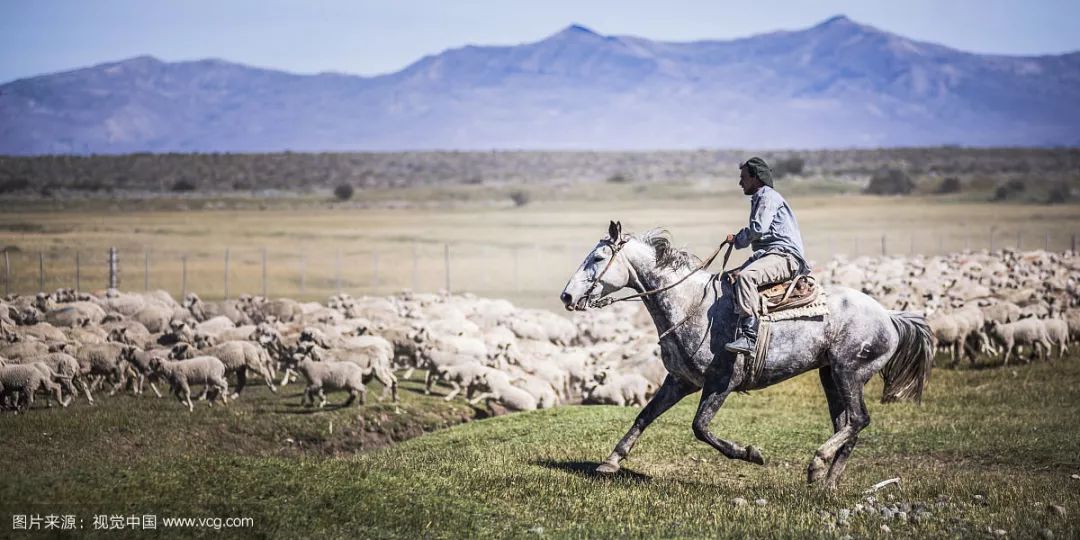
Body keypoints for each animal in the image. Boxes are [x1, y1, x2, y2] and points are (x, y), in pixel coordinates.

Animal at [561, 222, 933, 490]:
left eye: (597, 258)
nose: (567, 296)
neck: (691, 304)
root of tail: (890, 316)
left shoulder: (720, 383)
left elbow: (700, 427)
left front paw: (750, 454)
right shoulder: (680, 381)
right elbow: (644, 416)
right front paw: (610, 461)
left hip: (849, 373)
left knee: (858, 419)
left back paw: (817, 463)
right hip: (830, 375)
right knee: (847, 426)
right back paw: (825, 482)